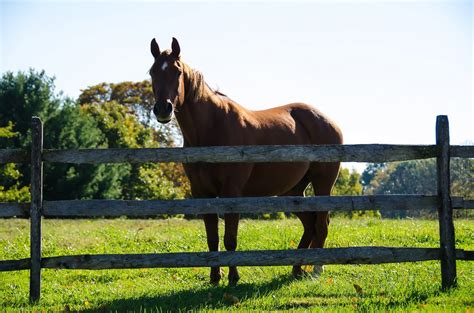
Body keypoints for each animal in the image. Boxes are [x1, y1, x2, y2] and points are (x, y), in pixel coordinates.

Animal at [150, 37, 342, 286]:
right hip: (293, 190)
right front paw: (215, 278)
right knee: (310, 225)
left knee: (321, 224)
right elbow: (212, 239)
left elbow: (230, 238)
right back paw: (297, 269)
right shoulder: (202, 193)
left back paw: (316, 270)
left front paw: (233, 277)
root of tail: (327, 120)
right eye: (152, 71)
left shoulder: (232, 193)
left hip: (322, 184)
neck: (212, 128)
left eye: (177, 71)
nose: (163, 109)